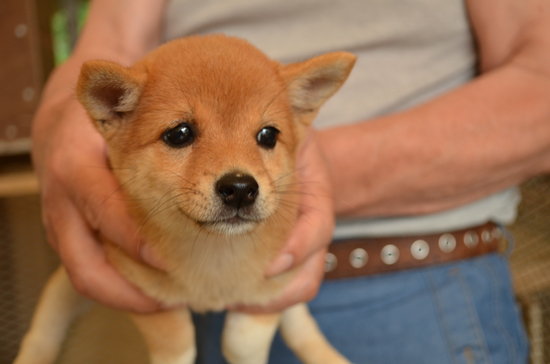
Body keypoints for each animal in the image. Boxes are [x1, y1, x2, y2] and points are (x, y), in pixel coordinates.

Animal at [15, 34, 358, 364]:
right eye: (179, 133)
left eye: (268, 135)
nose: (240, 187)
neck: (214, 256)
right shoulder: (144, 293)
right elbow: (176, 343)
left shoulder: (277, 283)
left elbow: (243, 341)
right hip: (66, 287)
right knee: (44, 329)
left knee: (302, 326)